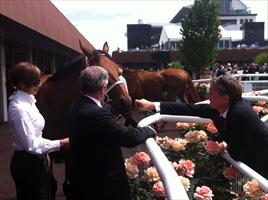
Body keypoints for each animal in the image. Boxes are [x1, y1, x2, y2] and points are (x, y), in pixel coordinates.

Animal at [35, 40, 132, 198]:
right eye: (103, 74)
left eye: (119, 71)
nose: (126, 102)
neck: (55, 107)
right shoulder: (46, 151)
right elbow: (52, 184)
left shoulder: (70, 152)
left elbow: (68, 186)